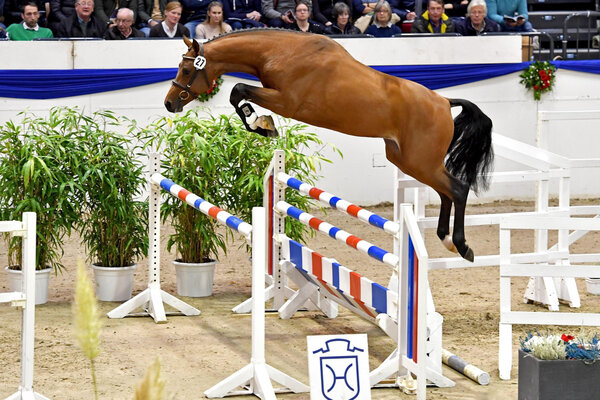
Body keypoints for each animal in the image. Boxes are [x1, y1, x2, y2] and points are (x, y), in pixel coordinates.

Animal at [164, 29, 493, 262]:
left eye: (185, 70)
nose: (169, 103)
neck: (282, 52)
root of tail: (444, 101)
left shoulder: (286, 101)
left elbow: (238, 90)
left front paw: (261, 124)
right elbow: (239, 94)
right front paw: (262, 125)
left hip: (419, 161)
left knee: (458, 189)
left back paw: (461, 245)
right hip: (408, 160)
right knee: (446, 191)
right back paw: (445, 239)